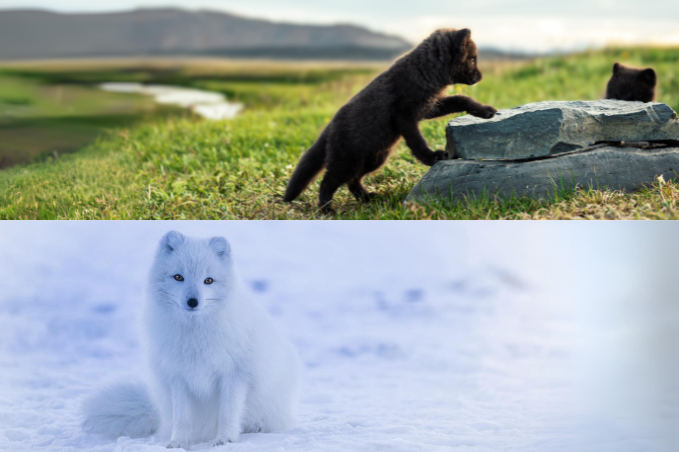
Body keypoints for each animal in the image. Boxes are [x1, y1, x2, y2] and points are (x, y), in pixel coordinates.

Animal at [83, 231, 302, 449]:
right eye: (178, 277)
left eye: (208, 280)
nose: (193, 302)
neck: (195, 335)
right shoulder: (178, 377)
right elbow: (182, 417)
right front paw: (178, 442)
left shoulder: (234, 375)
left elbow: (228, 413)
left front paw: (225, 439)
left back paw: (254, 427)